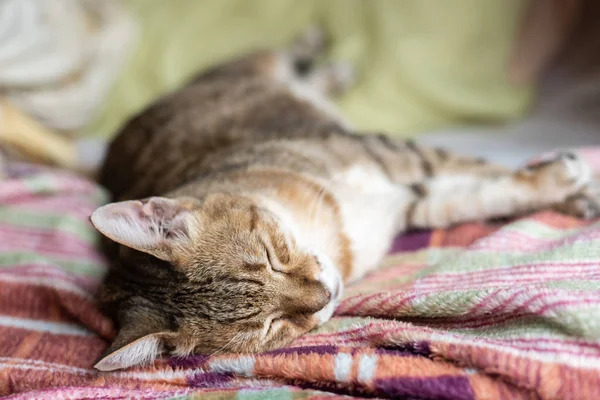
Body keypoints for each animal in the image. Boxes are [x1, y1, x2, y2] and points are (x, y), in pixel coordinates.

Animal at [89, 27, 600, 372]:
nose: (325, 294)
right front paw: (566, 186)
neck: (339, 231)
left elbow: (485, 171)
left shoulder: (396, 156)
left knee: (279, 55)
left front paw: (576, 186)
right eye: (270, 326)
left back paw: (321, 53)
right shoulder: (412, 196)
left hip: (249, 67)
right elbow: (484, 192)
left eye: (271, 256)